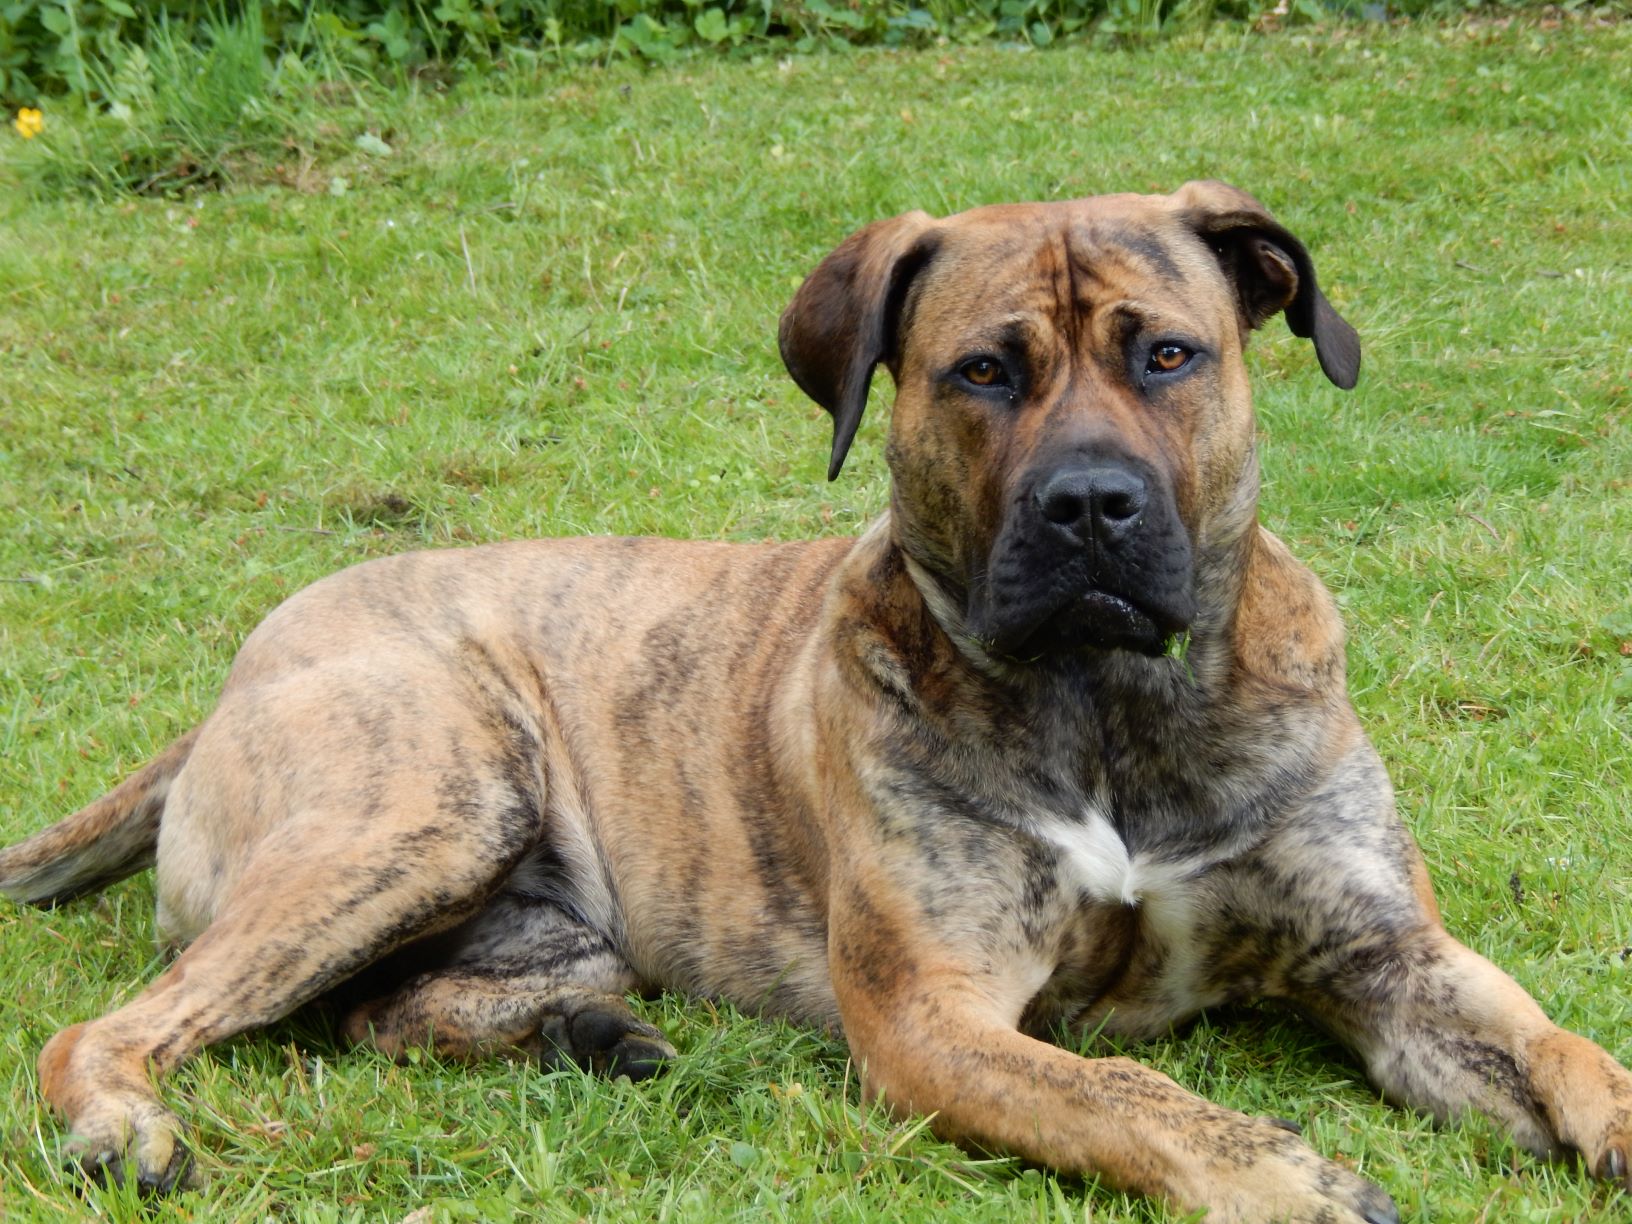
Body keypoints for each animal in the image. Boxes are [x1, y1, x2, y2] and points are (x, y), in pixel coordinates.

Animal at [4, 181, 1629, 1223]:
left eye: (1169, 354)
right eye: (984, 372)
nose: (1089, 505)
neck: (1110, 708)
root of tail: (246, 665)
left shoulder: (1386, 956)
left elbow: (1560, 1044)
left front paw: (1606, 1109)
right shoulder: (937, 1016)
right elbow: (1125, 1095)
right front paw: (1281, 1173)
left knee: (371, 1014)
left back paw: (586, 1039)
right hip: (423, 805)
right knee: (123, 1026)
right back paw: (123, 1120)